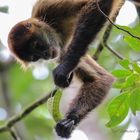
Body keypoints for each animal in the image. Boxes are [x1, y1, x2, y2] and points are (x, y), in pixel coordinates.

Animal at [7, 0, 123, 138]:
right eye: (34, 57)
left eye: (37, 45)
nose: (45, 55)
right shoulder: (59, 51)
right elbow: (100, 79)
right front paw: (70, 120)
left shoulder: (48, 7)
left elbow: (96, 3)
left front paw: (64, 68)